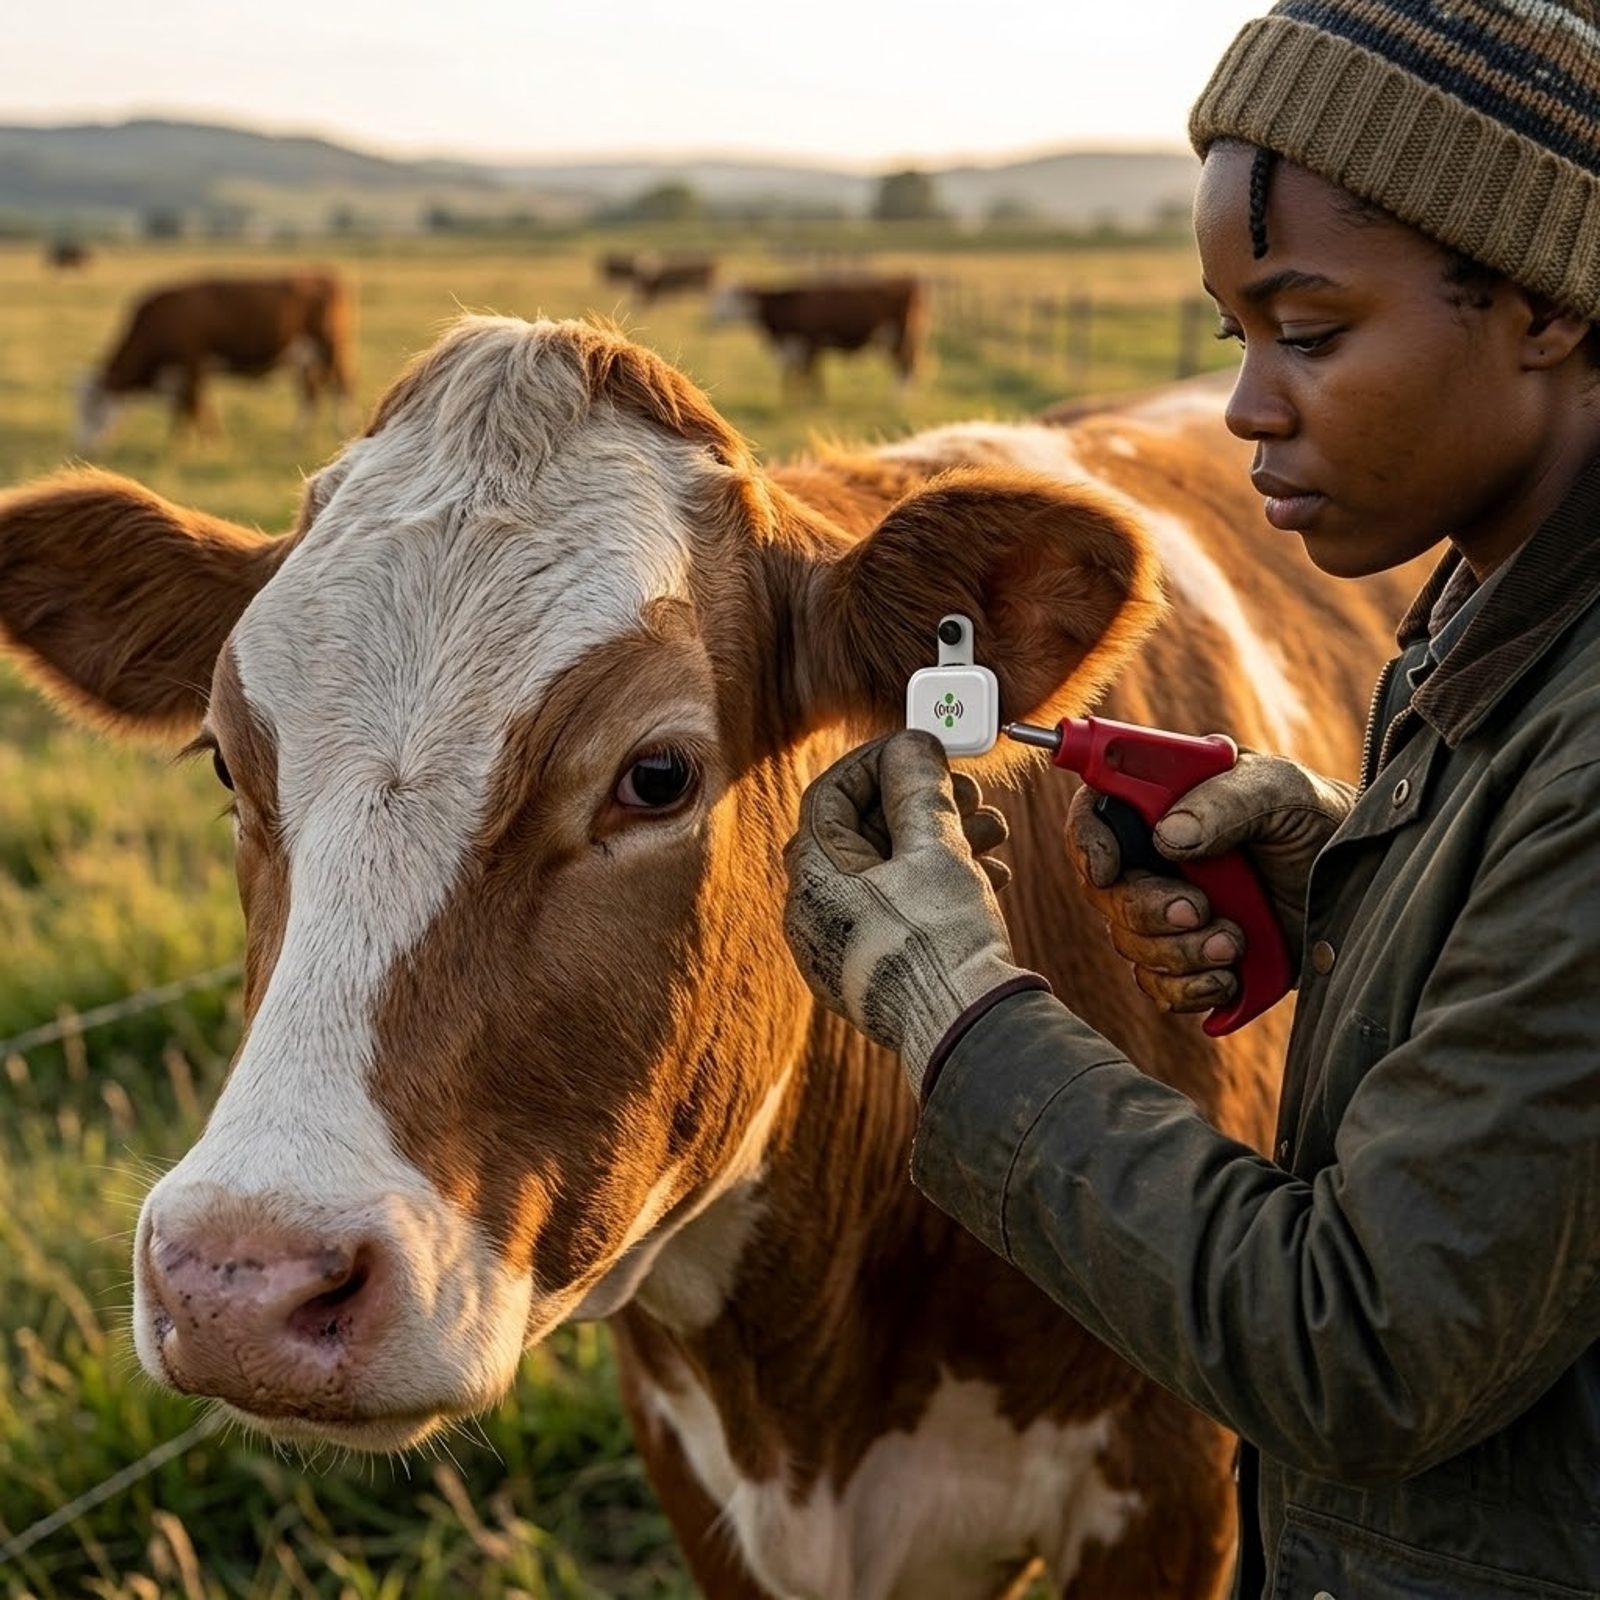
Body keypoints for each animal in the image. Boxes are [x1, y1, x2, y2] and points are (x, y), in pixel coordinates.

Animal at [75, 273, 354, 451]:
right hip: (304, 359)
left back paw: (343, 433)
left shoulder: (191, 365)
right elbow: (198, 405)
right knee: (310, 394)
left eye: (93, 408)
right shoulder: (192, 372)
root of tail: (322, 276)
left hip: (331, 350)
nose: (83, 447)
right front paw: (207, 442)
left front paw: (186, 446)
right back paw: (297, 440)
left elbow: (191, 406)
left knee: (341, 388)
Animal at [709, 276, 926, 397]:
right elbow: (796, 375)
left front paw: (814, 401)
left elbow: (811, 374)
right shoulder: (795, 348)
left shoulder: (811, 344)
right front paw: (793, 400)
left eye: (729, 298)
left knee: (905, 367)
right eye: (718, 296)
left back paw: (897, 399)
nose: (710, 319)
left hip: (899, 339)